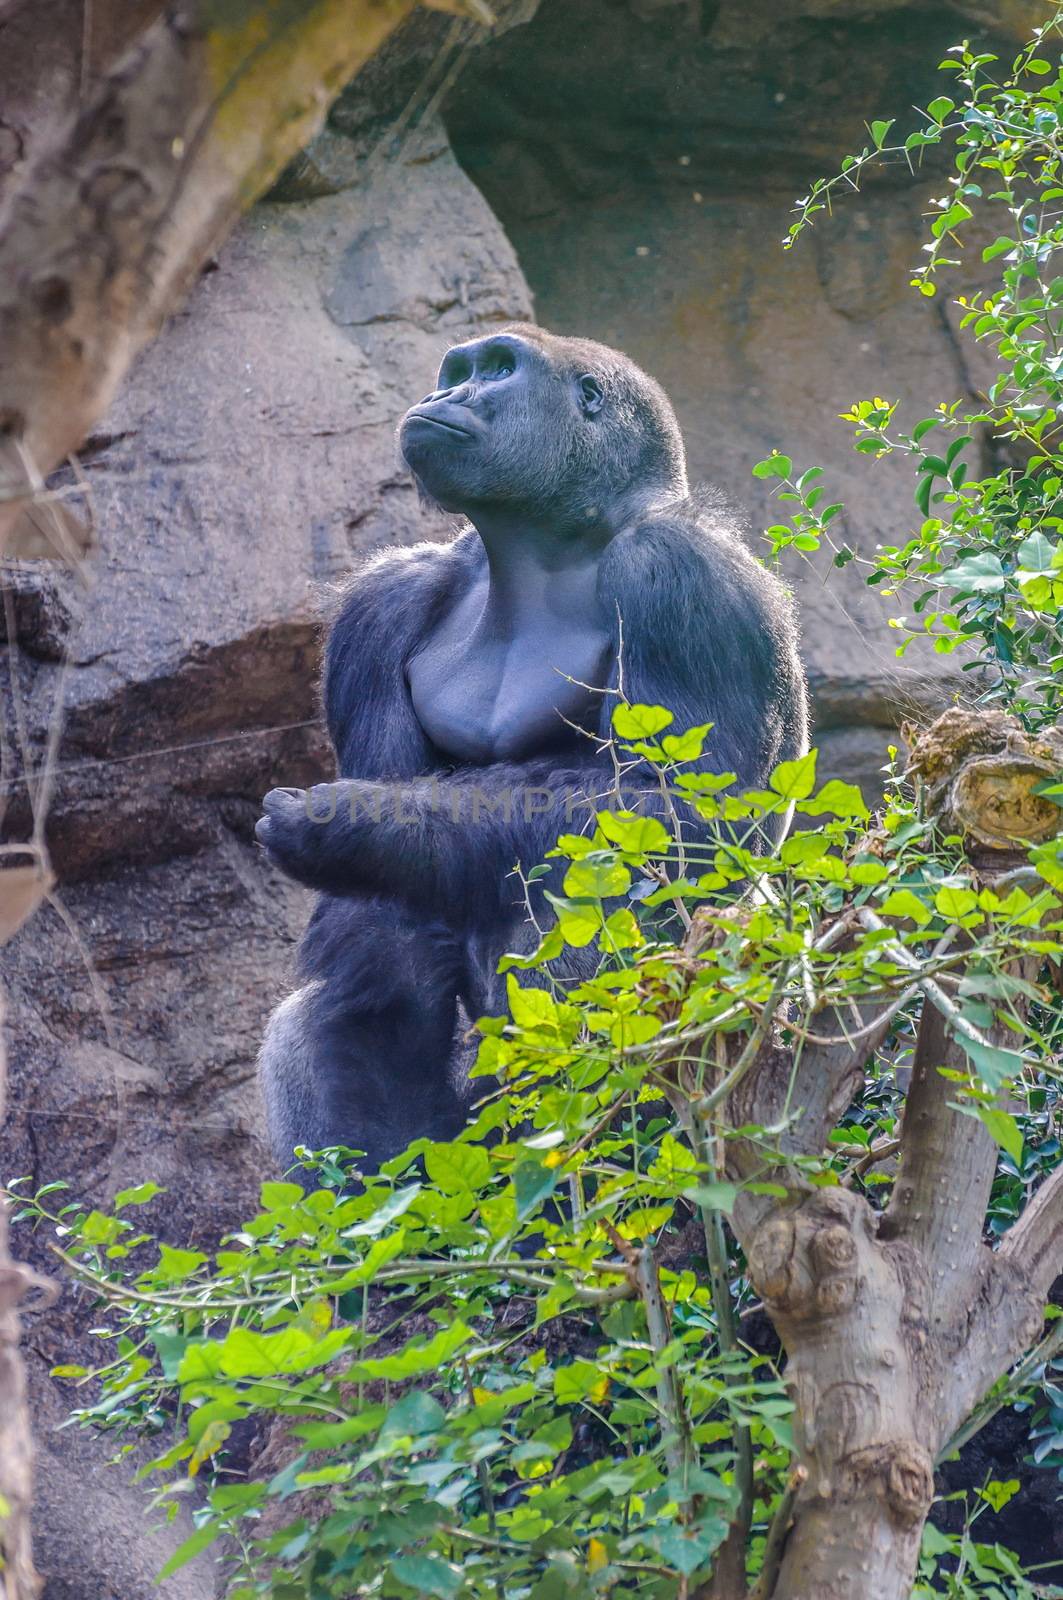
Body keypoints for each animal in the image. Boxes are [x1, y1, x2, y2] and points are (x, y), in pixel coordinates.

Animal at [256, 328, 806, 1177]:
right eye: (456, 372)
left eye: (495, 371)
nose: (442, 395)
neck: (549, 544)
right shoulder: (382, 602)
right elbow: (380, 919)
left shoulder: (680, 572)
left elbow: (682, 812)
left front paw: (349, 824)